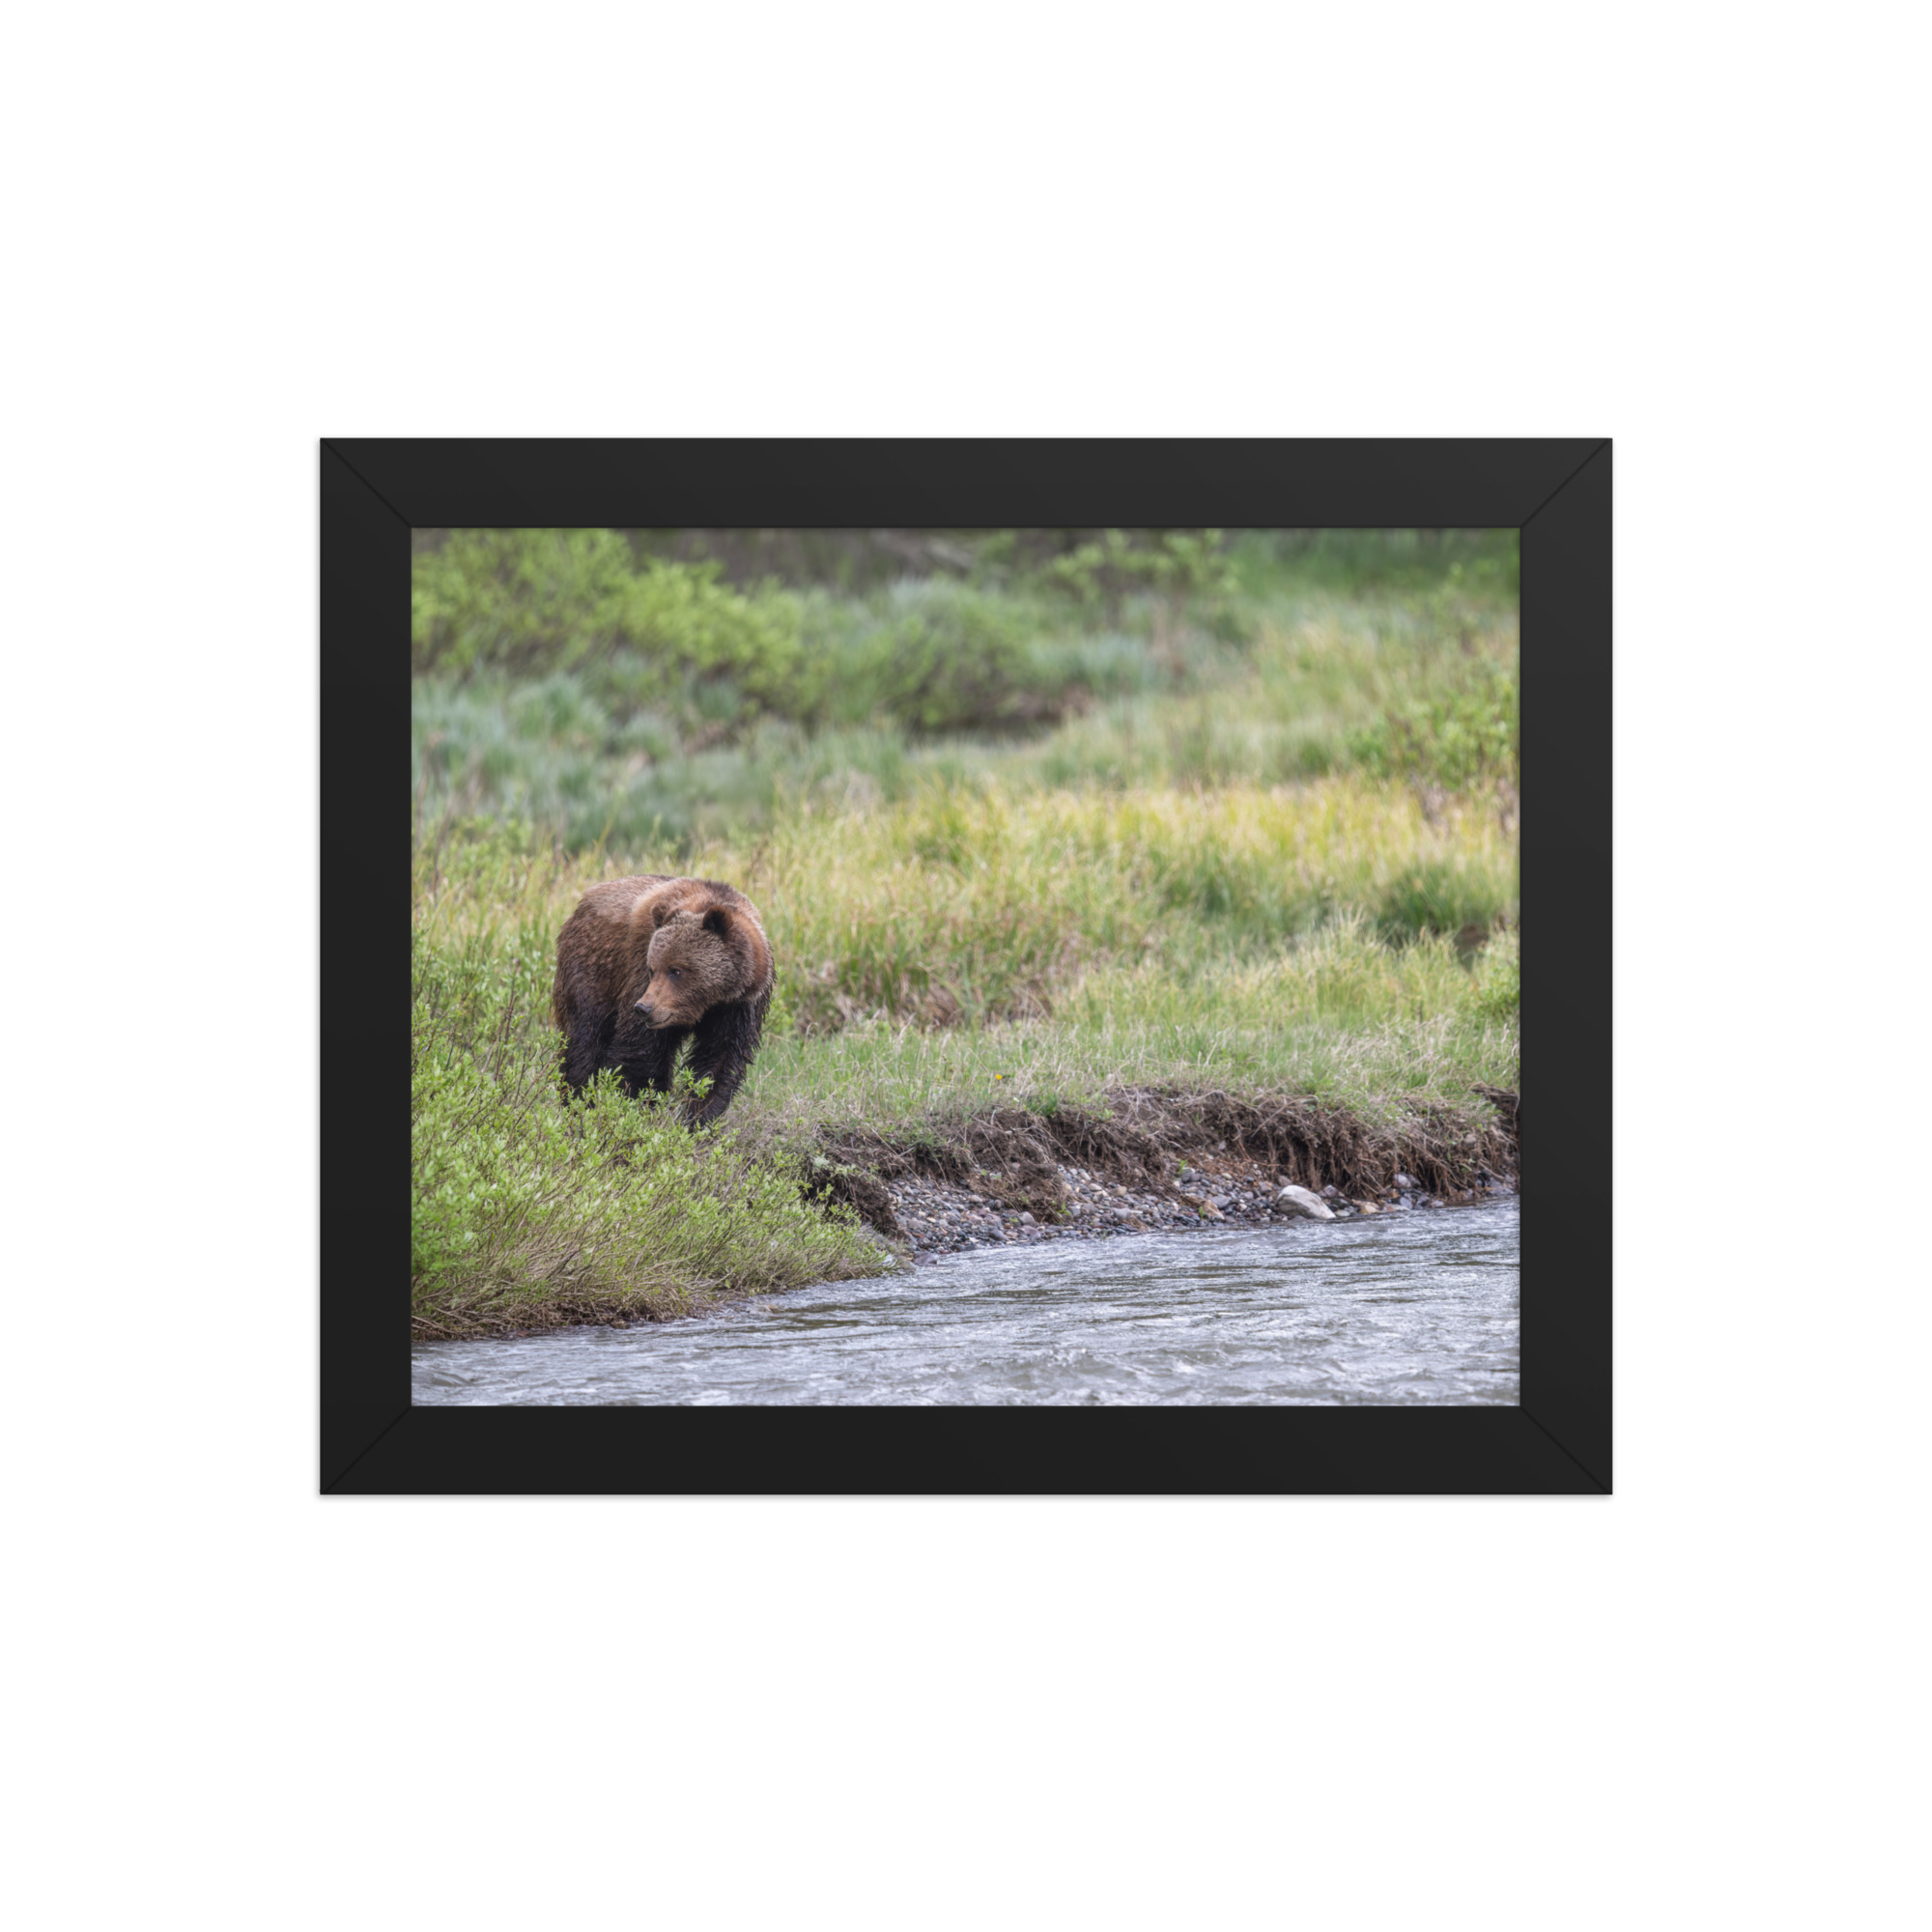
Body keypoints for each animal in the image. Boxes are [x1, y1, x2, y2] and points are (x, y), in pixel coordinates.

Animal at [551, 875, 775, 1125]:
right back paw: (578, 1104)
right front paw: (638, 1107)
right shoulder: (638, 973)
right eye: (652, 969)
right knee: (585, 1040)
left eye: (676, 970)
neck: (709, 1002)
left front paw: (698, 1118)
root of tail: (584, 901)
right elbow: (641, 1053)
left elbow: (719, 1062)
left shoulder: (739, 1007)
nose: (644, 1008)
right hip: (593, 970)